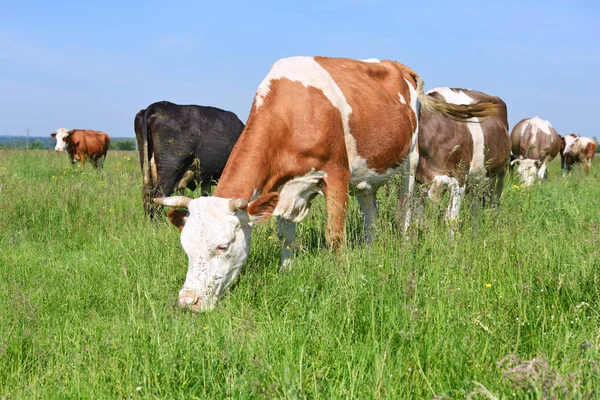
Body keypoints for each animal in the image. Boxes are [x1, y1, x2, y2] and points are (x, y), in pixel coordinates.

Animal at [154, 57, 496, 312]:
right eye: (186, 246)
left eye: (222, 246)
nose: (188, 302)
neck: (294, 110)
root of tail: (396, 65)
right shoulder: (285, 187)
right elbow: (286, 234)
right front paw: (286, 270)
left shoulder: (336, 173)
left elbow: (335, 236)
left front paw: (342, 278)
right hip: (368, 175)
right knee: (371, 217)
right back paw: (370, 251)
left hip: (408, 165)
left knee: (405, 215)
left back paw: (401, 247)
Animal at [404, 86, 510, 228]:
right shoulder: (420, 180)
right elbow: (415, 216)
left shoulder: (459, 177)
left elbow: (451, 218)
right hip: (476, 180)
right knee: (474, 207)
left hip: (499, 175)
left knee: (495, 205)